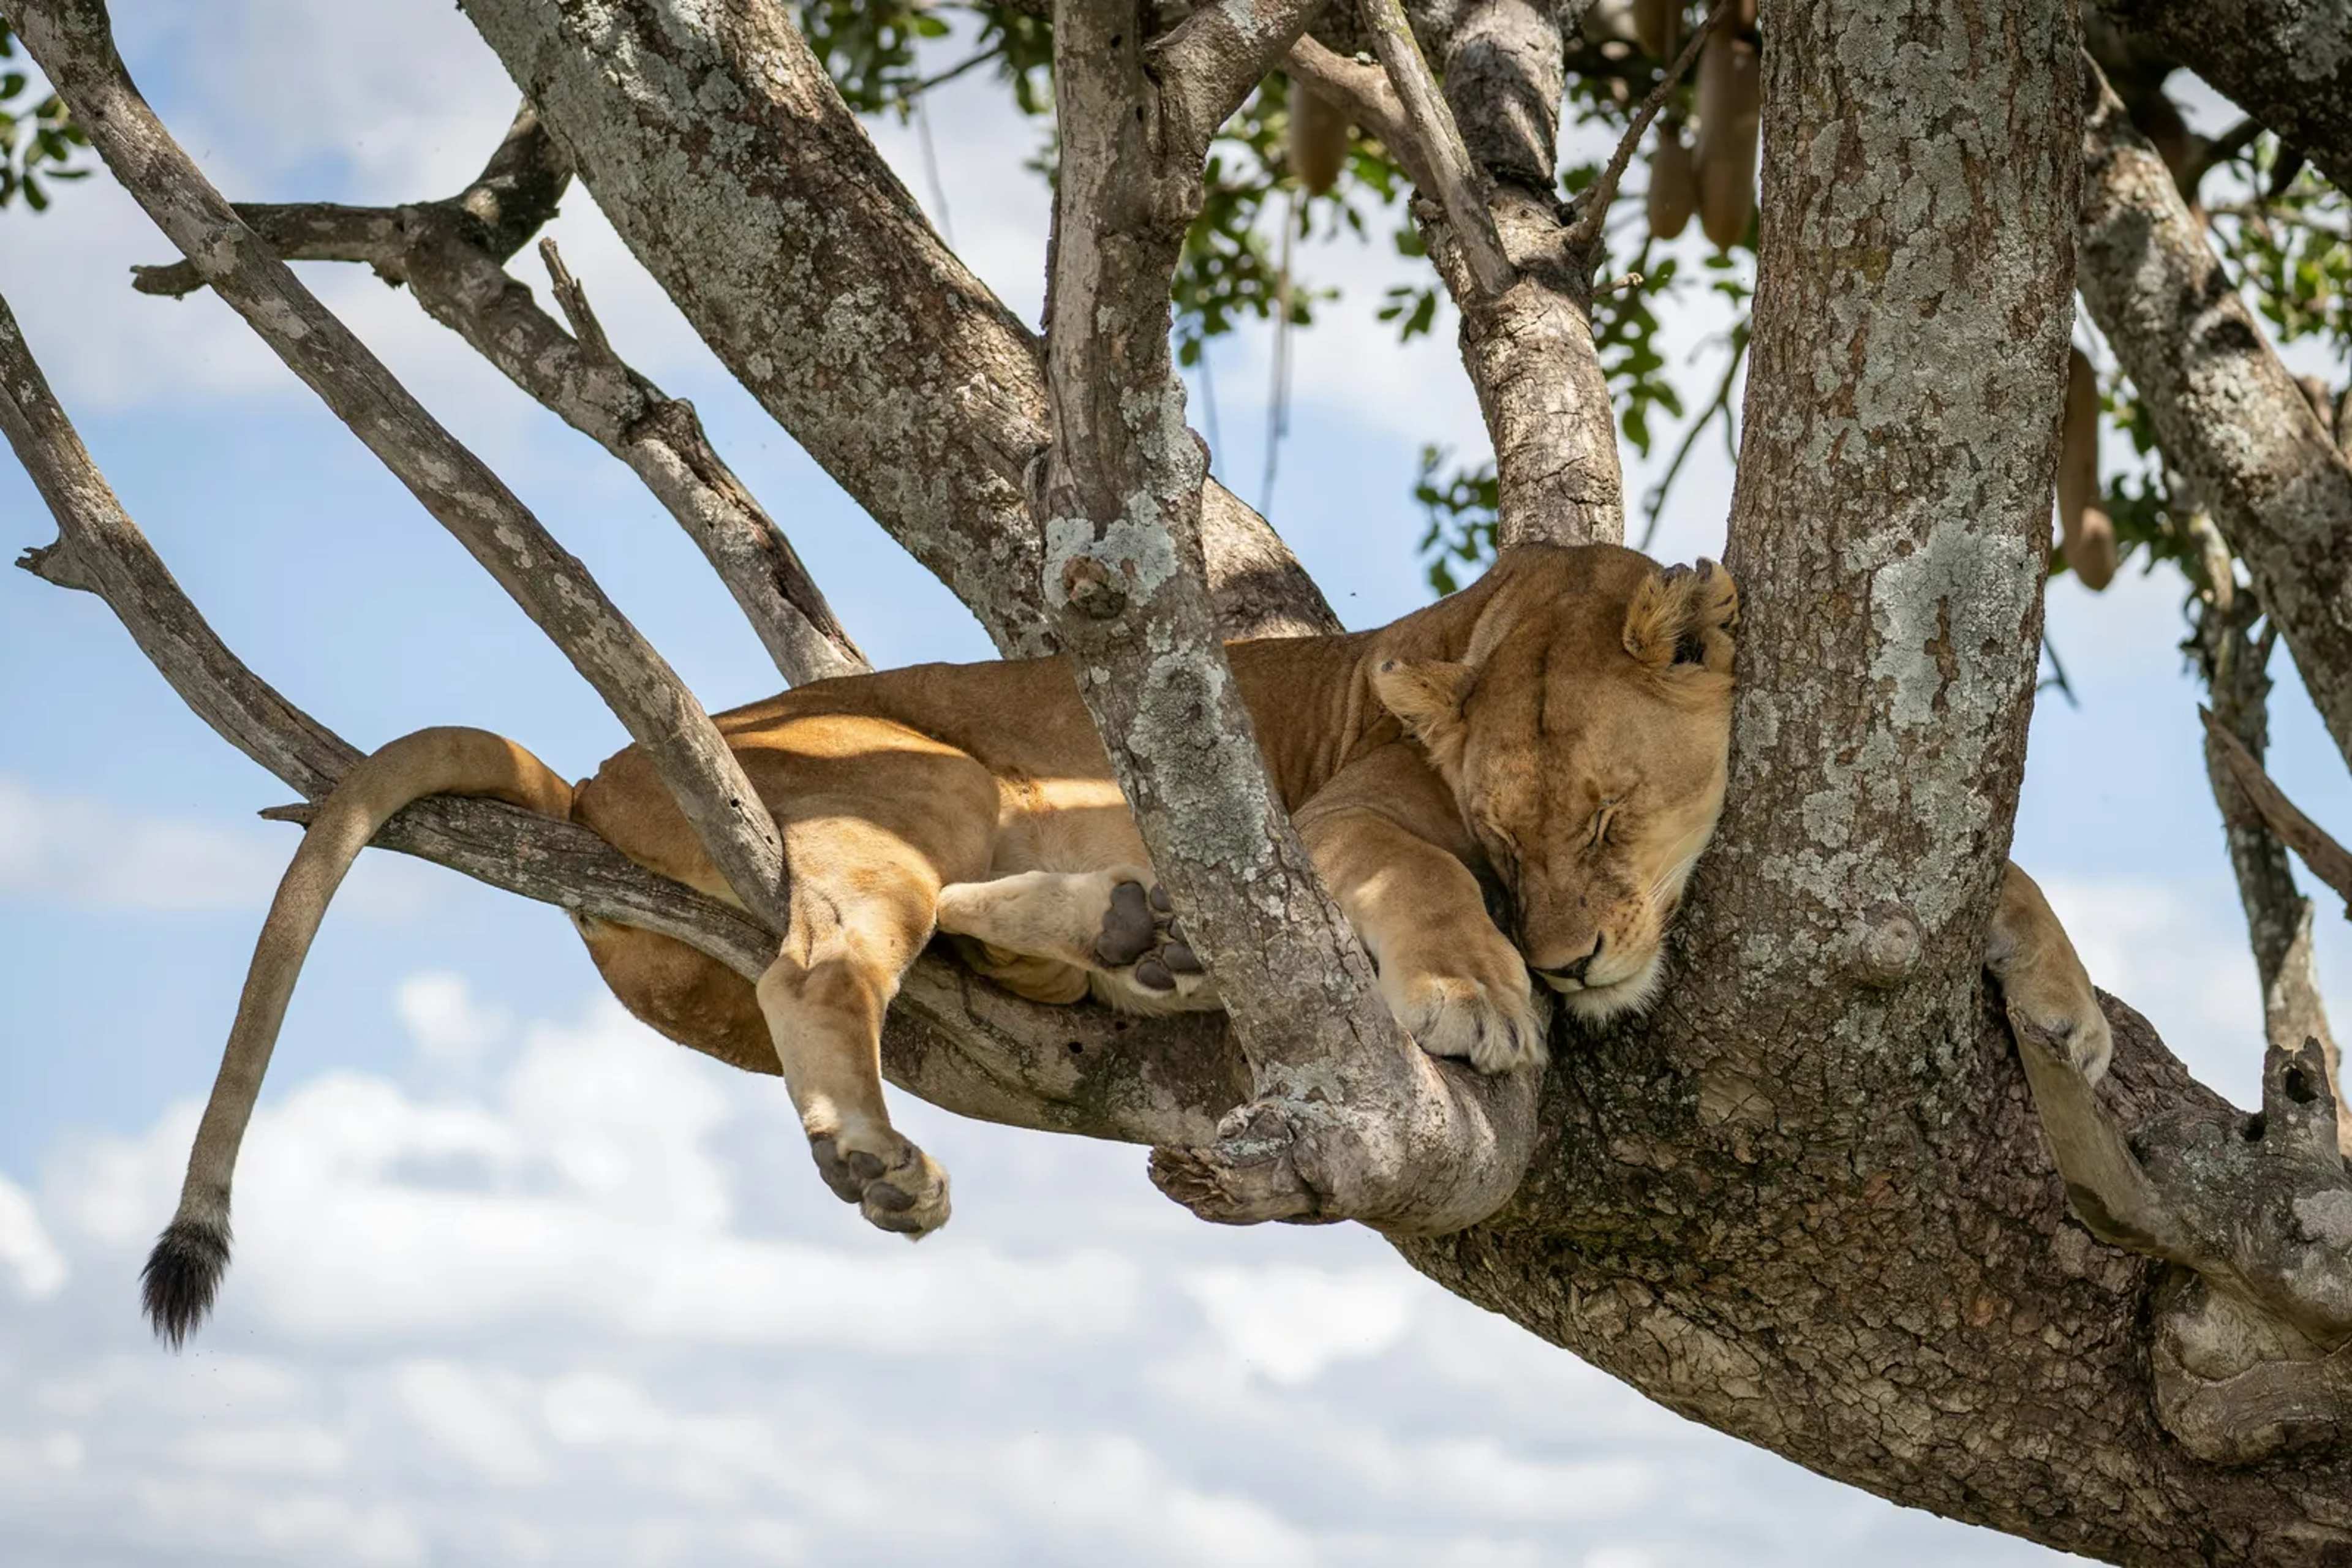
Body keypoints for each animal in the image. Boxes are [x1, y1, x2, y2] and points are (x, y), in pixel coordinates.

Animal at [138, 543, 2111, 1344]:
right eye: (1509, 835)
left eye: (1613, 820)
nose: (1566, 962)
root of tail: (603, 761)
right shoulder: (1350, 821)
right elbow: (1418, 890)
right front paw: (1476, 1001)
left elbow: (2007, 877)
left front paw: (2070, 1009)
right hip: (918, 770)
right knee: (825, 952)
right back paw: (898, 1136)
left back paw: (1136, 938)